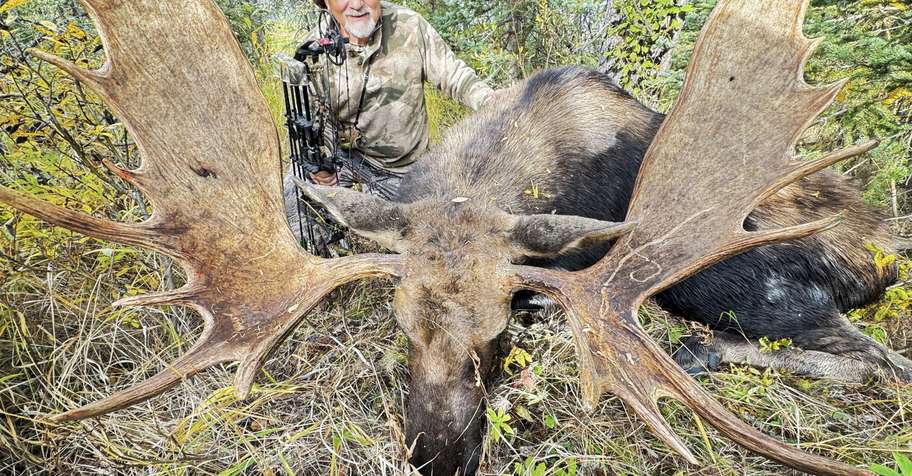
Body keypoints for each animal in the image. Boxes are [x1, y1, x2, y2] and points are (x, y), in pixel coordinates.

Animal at [0, 0, 904, 475]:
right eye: (399, 326)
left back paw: (702, 350)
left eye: (498, 333)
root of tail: (879, 259)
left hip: (740, 285)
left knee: (878, 361)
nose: (433, 457)